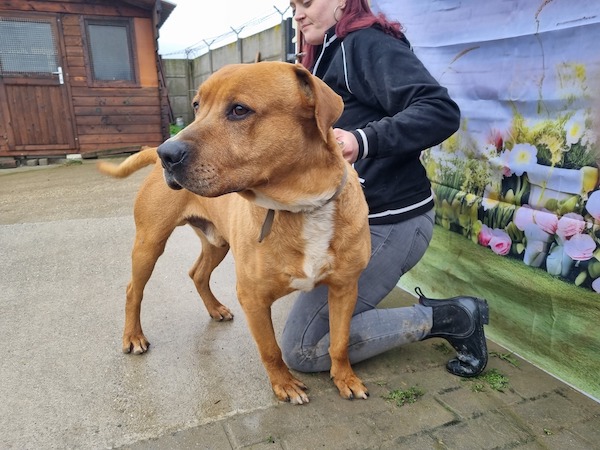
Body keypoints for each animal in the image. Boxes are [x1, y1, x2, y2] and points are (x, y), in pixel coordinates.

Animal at [98, 61, 371, 404]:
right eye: (197, 106)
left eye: (239, 110)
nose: (166, 154)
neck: (303, 207)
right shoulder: (253, 298)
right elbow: (270, 350)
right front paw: (284, 385)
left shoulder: (345, 288)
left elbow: (340, 341)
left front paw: (345, 378)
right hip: (149, 243)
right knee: (134, 289)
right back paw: (133, 336)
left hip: (217, 243)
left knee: (198, 273)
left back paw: (214, 308)